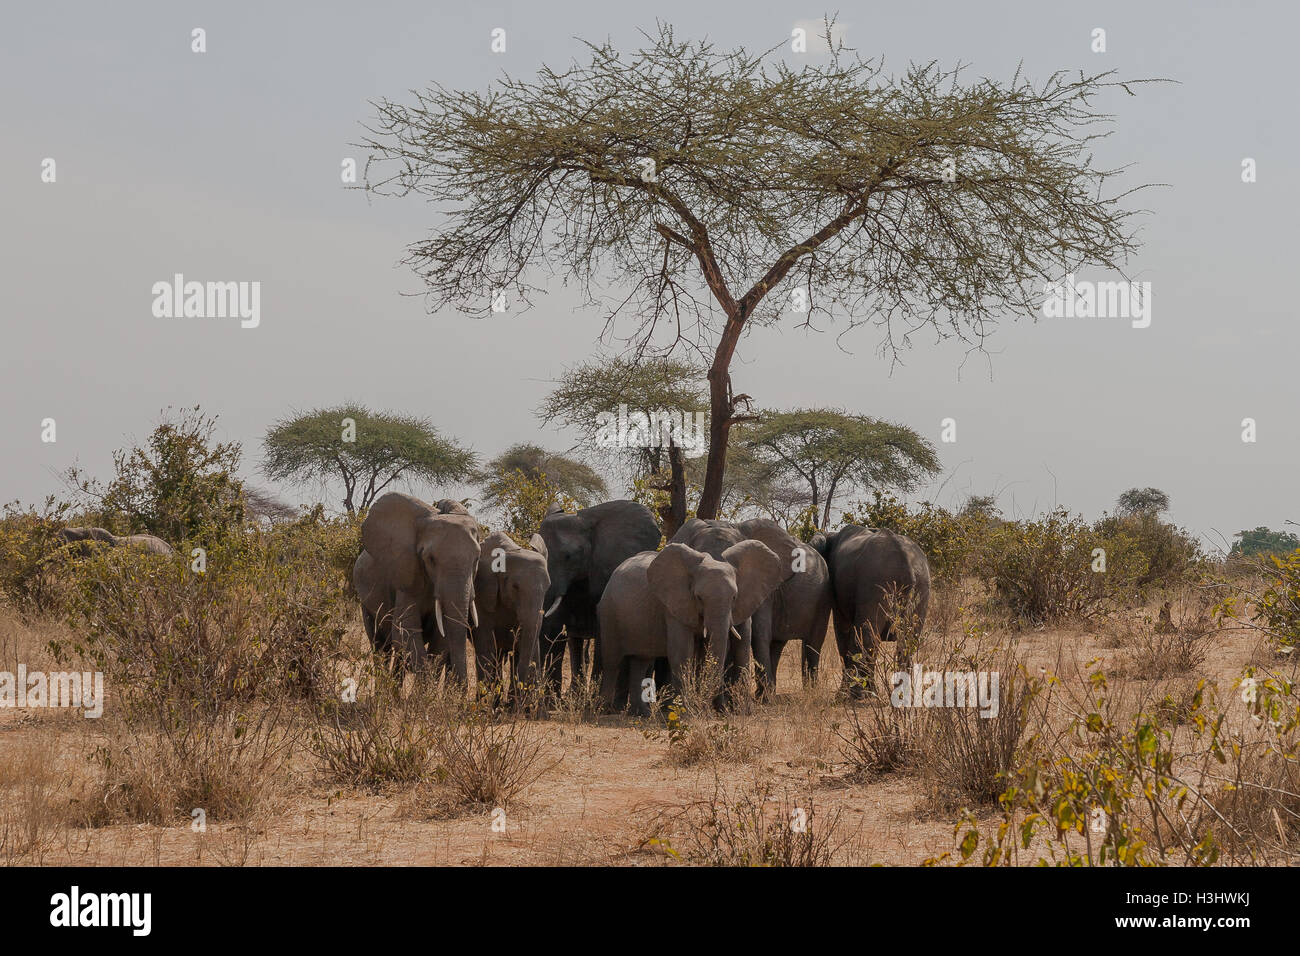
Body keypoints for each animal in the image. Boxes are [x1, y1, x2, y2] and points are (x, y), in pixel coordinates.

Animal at [352, 492, 482, 679]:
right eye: (431, 559)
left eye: (477, 559)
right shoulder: (406, 577)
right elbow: (405, 630)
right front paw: (424, 684)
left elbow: (440, 639)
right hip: (365, 601)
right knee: (380, 647)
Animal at [472, 531, 550, 706]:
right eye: (515, 587)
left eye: (548, 587)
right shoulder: (481, 593)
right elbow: (486, 643)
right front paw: (484, 706)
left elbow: (521, 642)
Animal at [596, 541, 789, 717]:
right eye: (699, 597)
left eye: (734, 597)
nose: (718, 710)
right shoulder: (675, 605)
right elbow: (682, 651)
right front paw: (687, 714)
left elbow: (736, 647)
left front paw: (739, 712)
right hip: (609, 612)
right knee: (612, 661)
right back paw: (605, 710)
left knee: (641, 661)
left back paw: (642, 714)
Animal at [737, 518, 833, 700]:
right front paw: (763, 696)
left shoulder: (768, 586)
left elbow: (759, 633)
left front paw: (764, 699)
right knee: (777, 645)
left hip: (823, 597)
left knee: (813, 643)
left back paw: (811, 691)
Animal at [811, 525, 931, 699]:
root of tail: (907, 562)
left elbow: (843, 629)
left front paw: (842, 694)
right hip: (921, 587)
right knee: (909, 639)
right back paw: (901, 695)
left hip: (875, 583)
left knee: (867, 635)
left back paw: (857, 695)